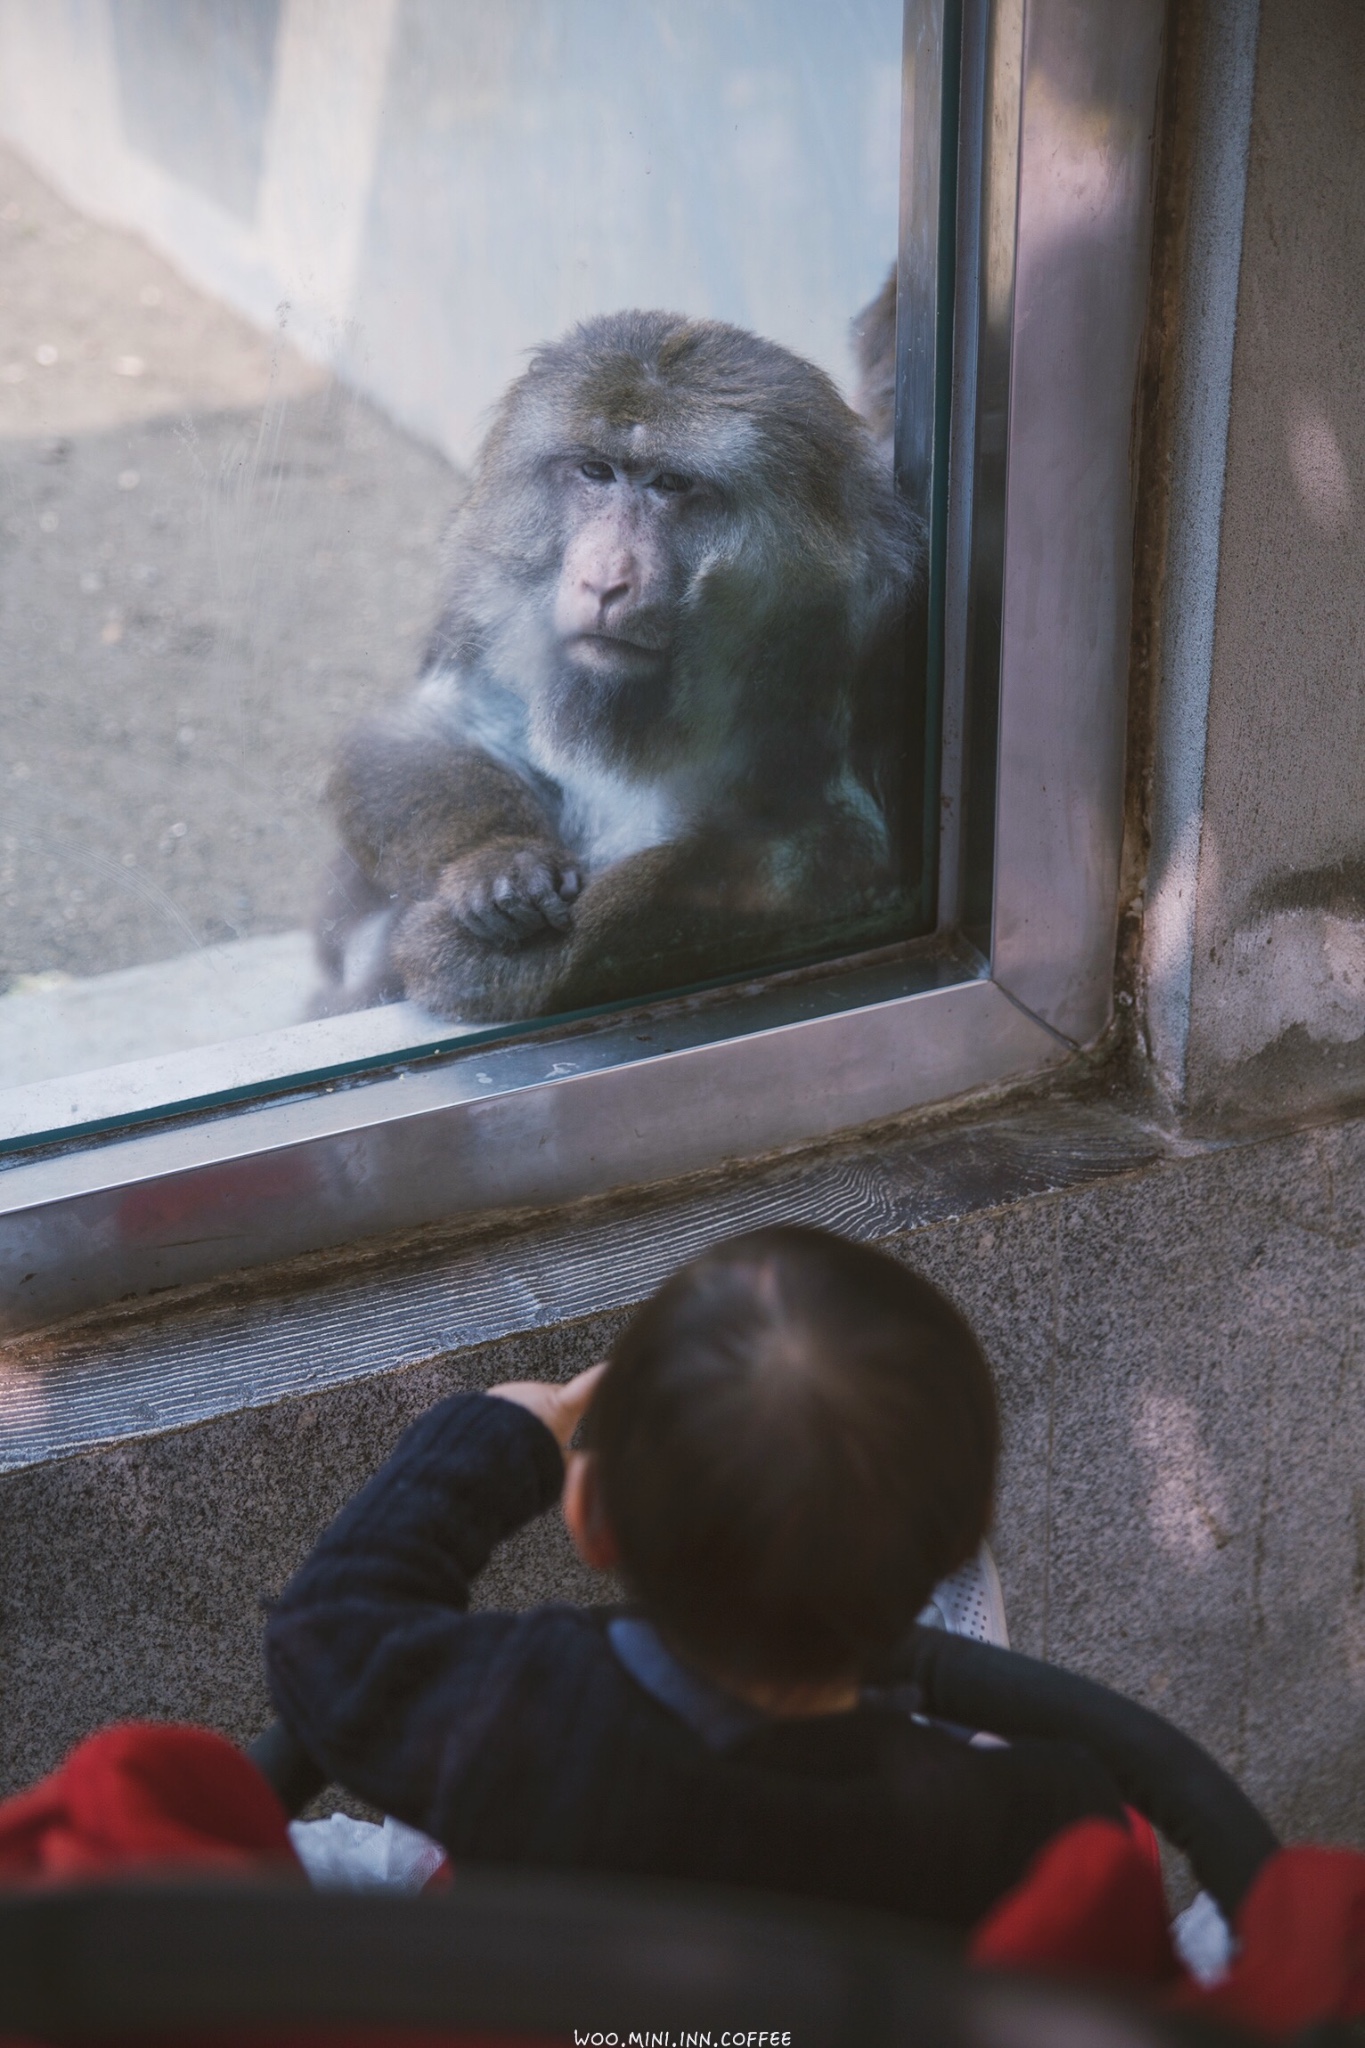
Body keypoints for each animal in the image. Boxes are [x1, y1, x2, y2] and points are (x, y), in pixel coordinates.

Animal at [315, 303, 925, 1024]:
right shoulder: (491, 616)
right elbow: (433, 729)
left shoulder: (866, 649)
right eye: (596, 472)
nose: (605, 580)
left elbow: (828, 859)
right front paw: (498, 862)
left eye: (670, 485)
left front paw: (472, 962)